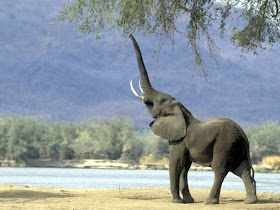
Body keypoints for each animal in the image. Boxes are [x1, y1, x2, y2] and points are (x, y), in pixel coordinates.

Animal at [129, 33, 258, 204]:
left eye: (155, 102)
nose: (129, 34)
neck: (182, 111)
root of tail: (244, 136)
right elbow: (185, 167)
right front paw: (188, 200)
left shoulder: (179, 140)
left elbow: (176, 164)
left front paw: (177, 201)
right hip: (237, 146)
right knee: (242, 170)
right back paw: (250, 201)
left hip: (225, 143)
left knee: (220, 169)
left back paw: (210, 202)